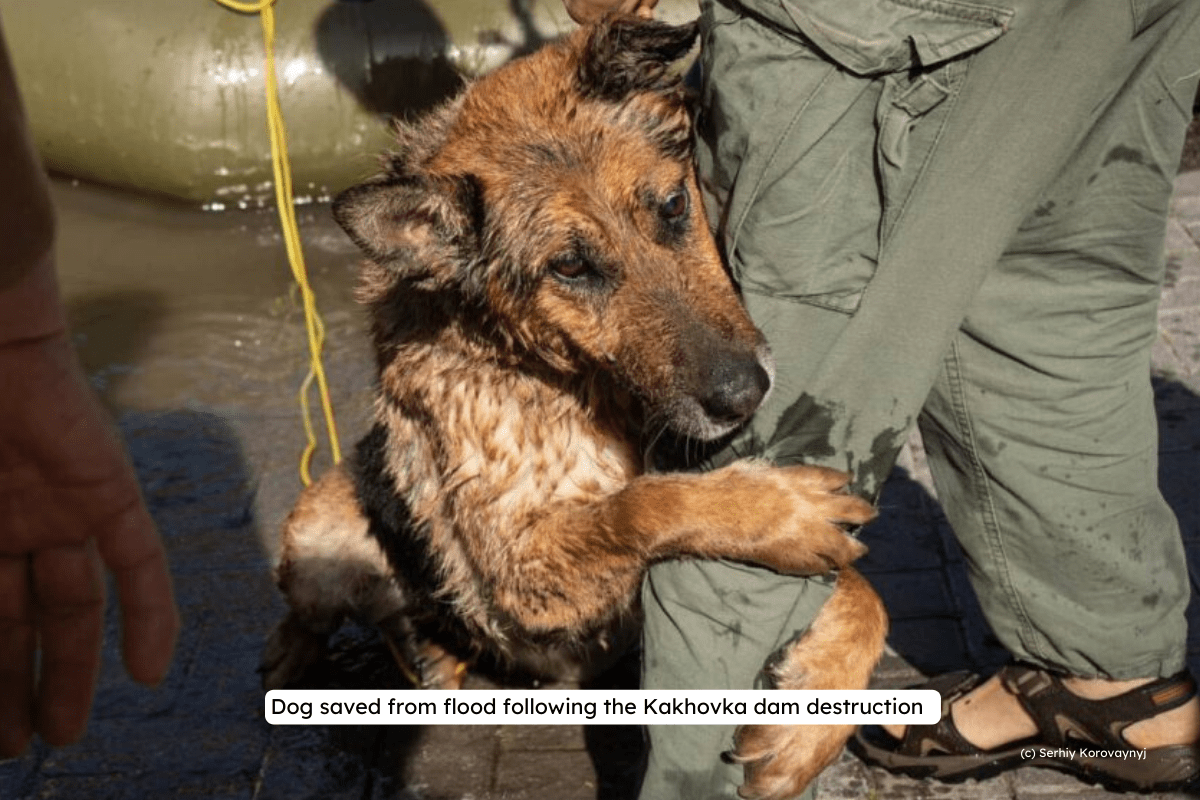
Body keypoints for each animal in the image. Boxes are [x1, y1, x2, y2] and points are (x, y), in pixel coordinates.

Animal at [260, 15, 883, 796]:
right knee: (311, 615)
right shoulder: (518, 573)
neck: (570, 377)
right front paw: (774, 512)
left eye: (673, 207)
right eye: (570, 266)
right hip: (321, 528)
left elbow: (866, 592)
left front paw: (809, 724)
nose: (744, 394)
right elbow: (642, 505)